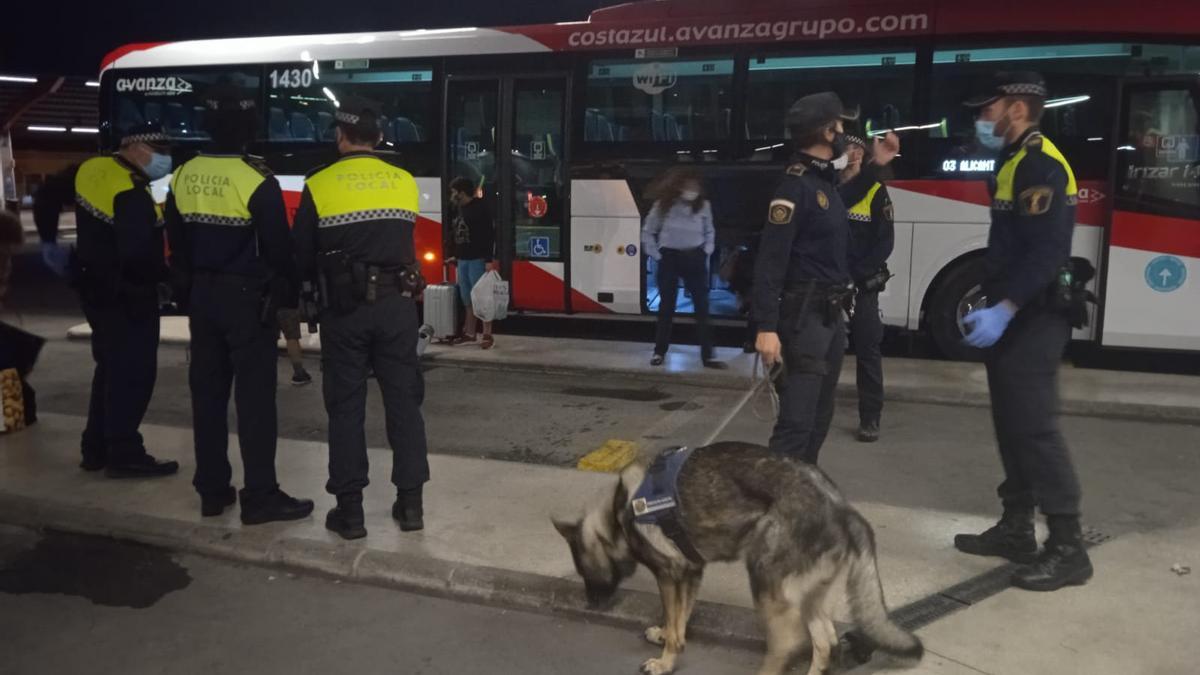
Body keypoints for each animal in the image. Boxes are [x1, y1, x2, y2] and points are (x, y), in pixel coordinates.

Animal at [549, 441, 916, 672]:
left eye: (584, 571)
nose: (590, 605)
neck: (619, 511)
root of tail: (841, 507)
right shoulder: (691, 572)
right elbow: (681, 616)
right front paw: (669, 635)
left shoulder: (669, 574)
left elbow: (674, 614)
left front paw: (667, 660)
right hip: (809, 596)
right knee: (825, 642)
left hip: (765, 581)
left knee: (789, 641)